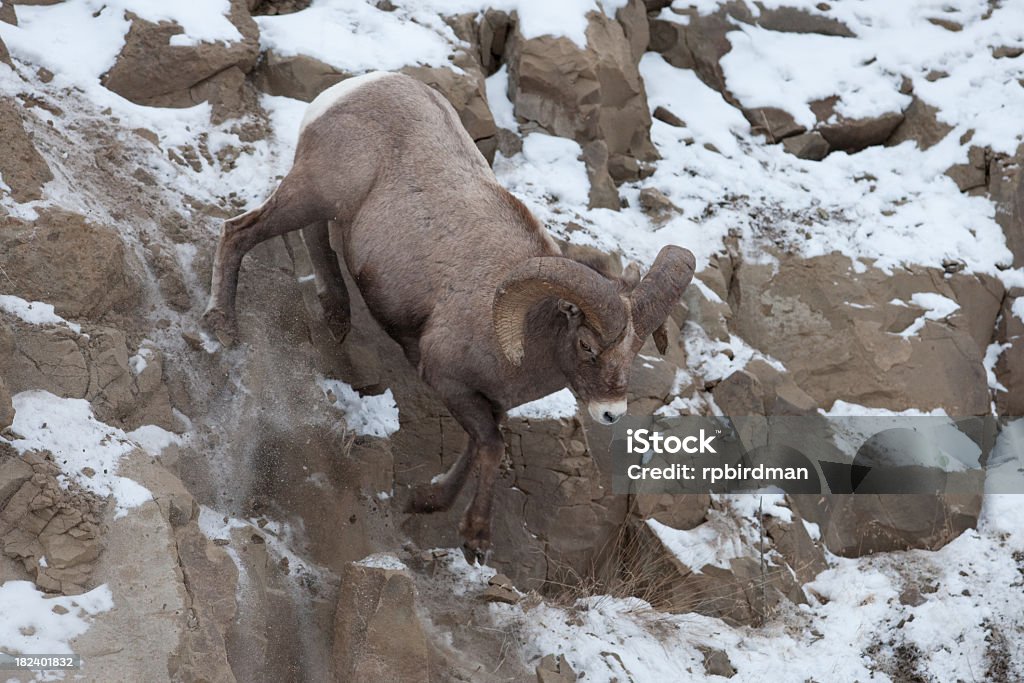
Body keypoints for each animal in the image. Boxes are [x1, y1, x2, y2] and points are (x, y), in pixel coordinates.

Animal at [201, 72, 696, 565]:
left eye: (634, 351)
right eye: (586, 345)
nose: (611, 413)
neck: (521, 339)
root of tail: (354, 88)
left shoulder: (485, 401)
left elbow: (477, 447)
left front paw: (426, 501)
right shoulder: (448, 381)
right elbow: (492, 447)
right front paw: (475, 538)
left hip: (326, 206)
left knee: (314, 240)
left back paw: (335, 317)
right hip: (310, 193)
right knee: (239, 231)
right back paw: (223, 325)